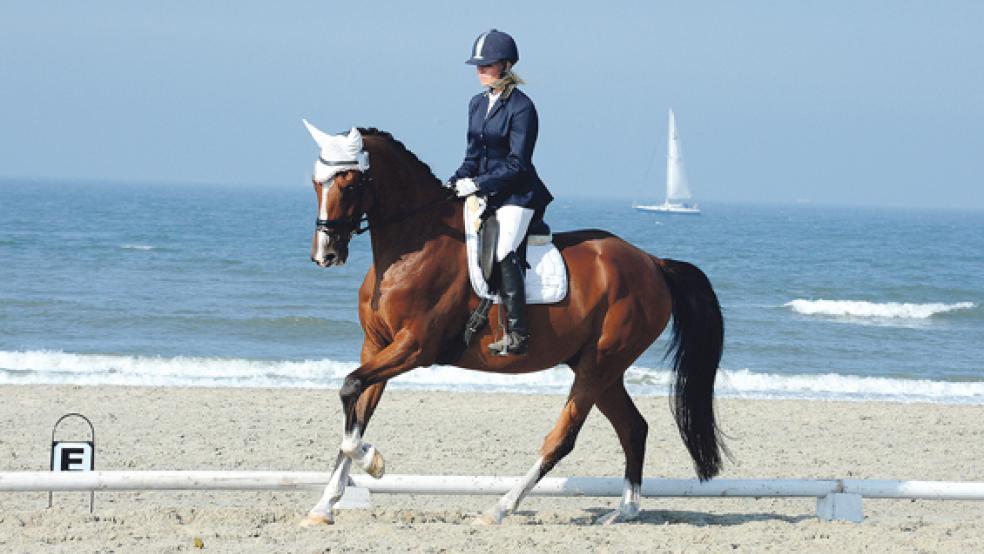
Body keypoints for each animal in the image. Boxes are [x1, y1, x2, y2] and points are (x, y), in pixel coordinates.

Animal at [298, 126, 724, 528]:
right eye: (316, 182)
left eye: (350, 184)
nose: (325, 255)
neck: (413, 244)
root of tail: (653, 263)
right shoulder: (376, 346)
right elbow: (356, 407)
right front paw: (324, 506)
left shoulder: (414, 347)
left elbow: (350, 389)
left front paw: (373, 461)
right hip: (600, 368)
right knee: (633, 428)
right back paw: (625, 511)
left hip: (599, 365)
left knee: (562, 439)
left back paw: (498, 509)